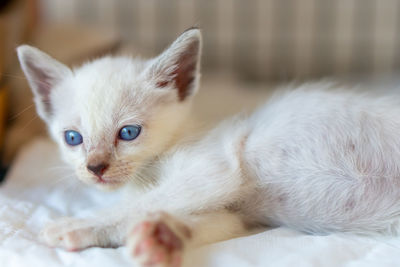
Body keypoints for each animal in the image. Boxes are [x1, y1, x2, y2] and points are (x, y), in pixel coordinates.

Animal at [17, 29, 400, 267]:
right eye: (73, 138)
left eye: (128, 132)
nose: (95, 168)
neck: (148, 172)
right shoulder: (234, 214)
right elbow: (206, 221)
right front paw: (163, 238)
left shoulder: (213, 170)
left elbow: (141, 204)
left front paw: (75, 225)